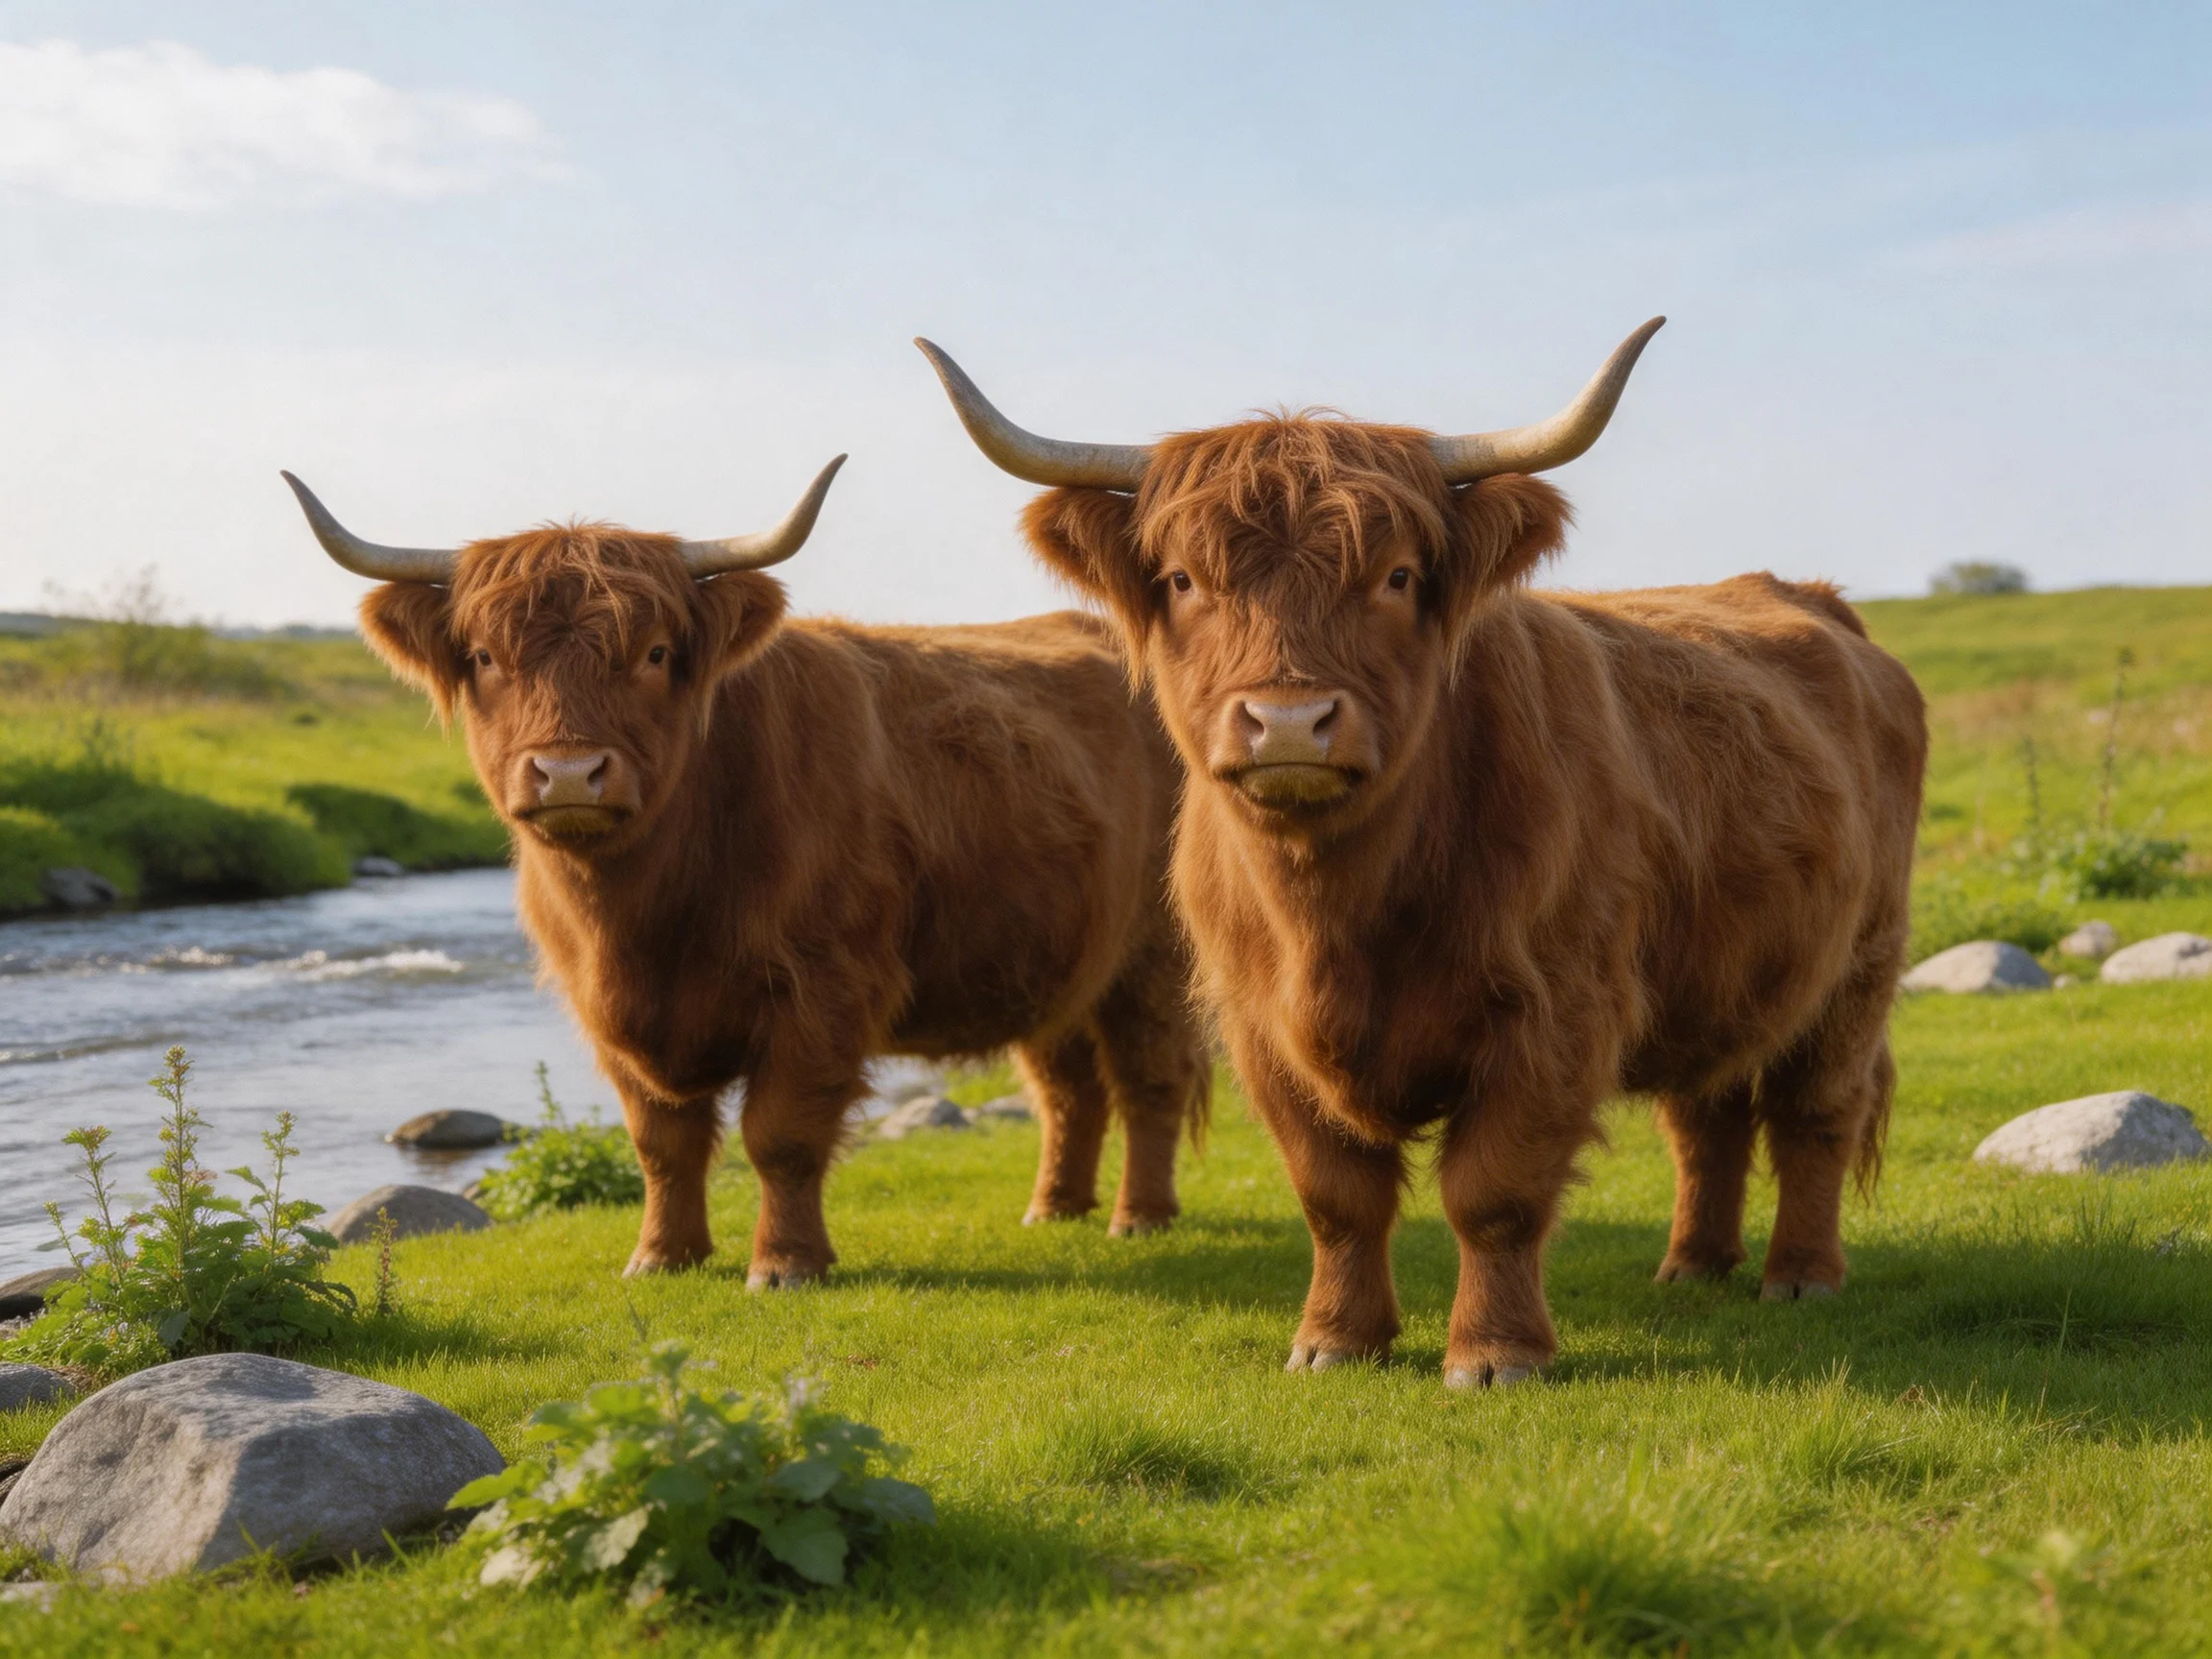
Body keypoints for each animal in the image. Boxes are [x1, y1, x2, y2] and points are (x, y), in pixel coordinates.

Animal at [283, 459, 1208, 1282]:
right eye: (481, 657)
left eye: (655, 653)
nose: (570, 772)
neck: (644, 916)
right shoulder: (606, 1011)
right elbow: (662, 1144)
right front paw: (662, 1257)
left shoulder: (824, 988)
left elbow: (781, 1135)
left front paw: (786, 1263)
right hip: (1058, 959)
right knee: (1067, 1089)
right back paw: (1054, 1208)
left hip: (1153, 957)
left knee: (1148, 1079)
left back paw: (1139, 1217)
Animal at [920, 321, 1927, 1387]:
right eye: (1185, 579)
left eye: (1398, 576)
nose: (1289, 722)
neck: (1339, 912)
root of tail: (1816, 605)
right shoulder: (1262, 1028)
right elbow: (1335, 1195)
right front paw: (1334, 1340)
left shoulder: (1557, 1014)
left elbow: (1495, 1192)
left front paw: (1494, 1354)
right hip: (1721, 979)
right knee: (1708, 1116)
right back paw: (1693, 1265)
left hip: (1859, 967)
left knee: (1817, 1112)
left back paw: (1802, 1275)